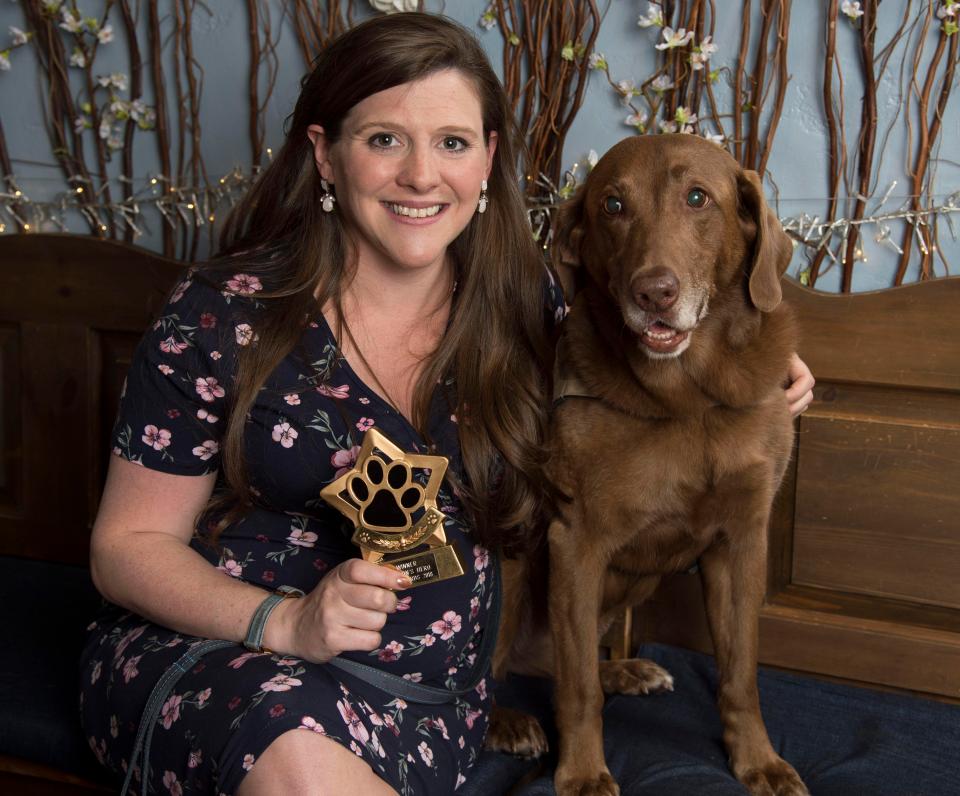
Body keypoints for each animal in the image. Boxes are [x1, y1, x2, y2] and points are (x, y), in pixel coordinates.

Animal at [492, 134, 808, 792]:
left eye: (698, 198)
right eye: (612, 206)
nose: (653, 293)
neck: (690, 399)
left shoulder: (742, 542)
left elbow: (740, 673)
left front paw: (758, 760)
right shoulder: (576, 543)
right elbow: (578, 689)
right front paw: (583, 772)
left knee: (551, 660)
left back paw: (628, 671)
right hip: (511, 563)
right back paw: (506, 721)